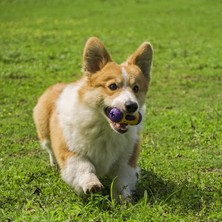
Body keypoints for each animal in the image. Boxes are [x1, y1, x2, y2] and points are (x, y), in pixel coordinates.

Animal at [33, 37, 153, 200]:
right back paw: (54, 164)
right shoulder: (71, 151)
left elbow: (121, 180)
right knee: (50, 148)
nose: (131, 106)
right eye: (113, 86)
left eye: (136, 88)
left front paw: (123, 199)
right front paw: (92, 184)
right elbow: (84, 167)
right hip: (44, 132)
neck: (104, 128)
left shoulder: (126, 159)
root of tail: (57, 86)